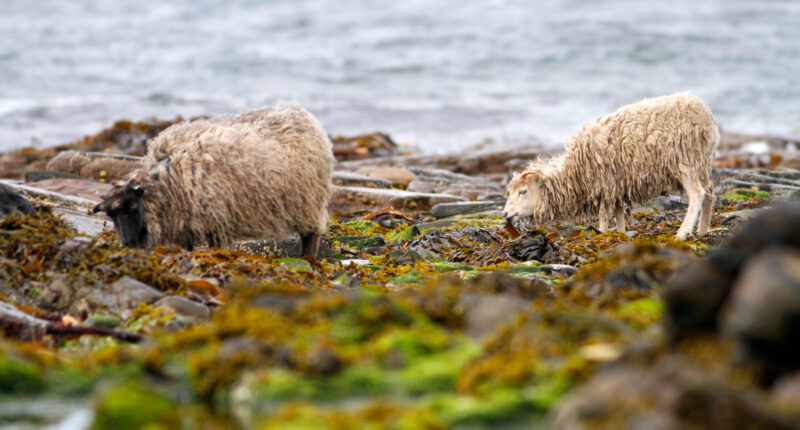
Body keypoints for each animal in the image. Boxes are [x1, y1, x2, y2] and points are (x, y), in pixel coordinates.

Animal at [92, 106, 332, 256]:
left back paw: (307, 260)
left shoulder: (217, 221)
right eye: (111, 215)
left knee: (311, 236)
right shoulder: (184, 225)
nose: (128, 244)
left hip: (309, 202)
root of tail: (300, 112)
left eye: (133, 207)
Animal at [500, 93, 720, 240]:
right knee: (709, 193)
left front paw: (602, 233)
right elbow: (619, 212)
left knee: (697, 194)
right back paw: (702, 231)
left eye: (523, 191)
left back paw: (682, 233)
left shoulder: (604, 184)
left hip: (685, 162)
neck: (574, 172)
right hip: (702, 164)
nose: (504, 214)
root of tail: (705, 115)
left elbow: (605, 216)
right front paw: (620, 234)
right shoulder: (615, 185)